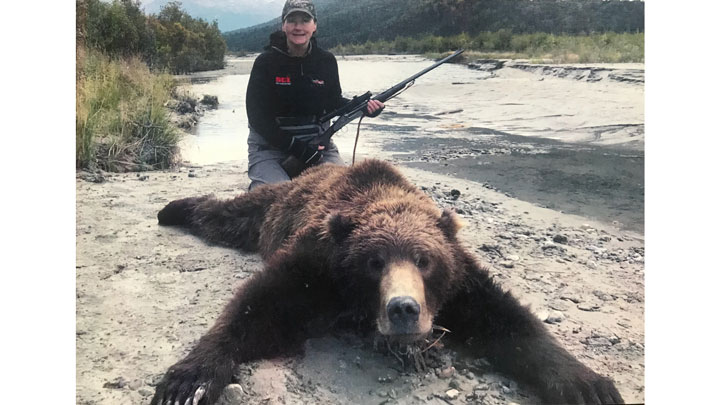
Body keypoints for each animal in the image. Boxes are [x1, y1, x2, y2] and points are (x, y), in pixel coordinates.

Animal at [149, 159, 620, 404]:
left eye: (424, 260)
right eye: (374, 263)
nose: (404, 309)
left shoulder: (460, 282)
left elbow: (508, 321)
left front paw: (590, 385)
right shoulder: (316, 265)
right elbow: (257, 308)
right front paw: (188, 382)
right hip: (270, 208)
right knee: (226, 214)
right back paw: (173, 208)